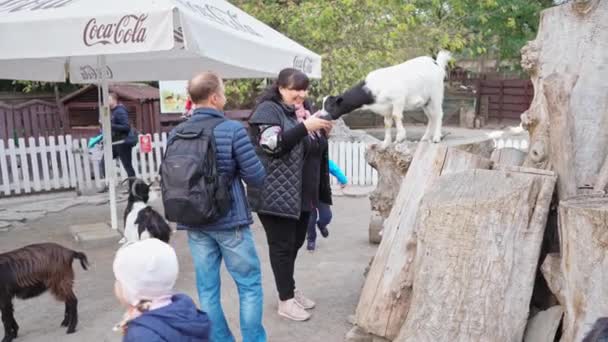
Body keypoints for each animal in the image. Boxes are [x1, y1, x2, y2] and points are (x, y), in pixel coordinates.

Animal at [320, 50, 448, 147]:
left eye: (331, 106)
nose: (321, 116)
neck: (372, 89)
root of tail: (435, 63)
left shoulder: (398, 99)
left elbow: (396, 116)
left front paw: (400, 137)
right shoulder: (386, 108)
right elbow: (387, 123)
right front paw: (386, 142)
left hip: (436, 94)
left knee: (439, 114)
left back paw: (436, 137)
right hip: (426, 102)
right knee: (431, 117)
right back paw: (425, 138)